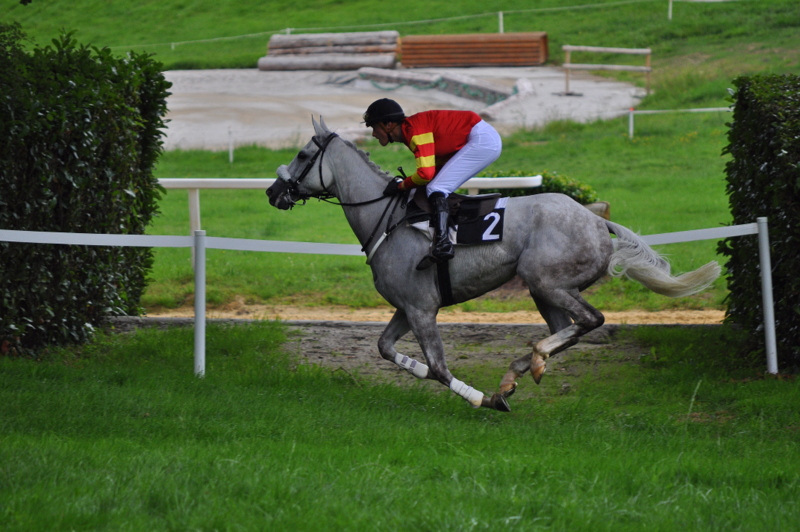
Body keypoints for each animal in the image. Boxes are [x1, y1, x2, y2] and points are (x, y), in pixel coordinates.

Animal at [266, 118, 720, 414]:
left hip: (547, 281)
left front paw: (482, 398)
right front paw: (476, 386)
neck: (387, 217)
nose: (273, 192)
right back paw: (522, 370)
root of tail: (596, 219)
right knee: (568, 329)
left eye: (303, 153)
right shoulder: (406, 307)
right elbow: (386, 349)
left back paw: (531, 360)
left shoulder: (421, 309)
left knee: (591, 320)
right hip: (545, 290)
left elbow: (439, 368)